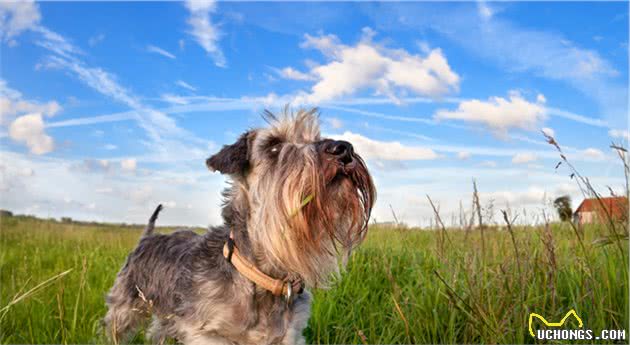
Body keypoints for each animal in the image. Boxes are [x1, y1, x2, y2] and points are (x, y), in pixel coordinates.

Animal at [105, 109, 376, 344]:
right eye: (274, 146)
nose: (344, 148)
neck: (261, 276)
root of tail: (147, 237)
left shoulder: (290, 335)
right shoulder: (208, 334)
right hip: (124, 309)